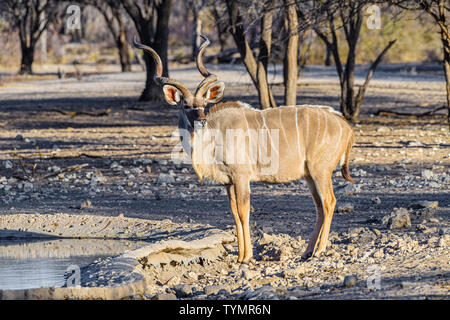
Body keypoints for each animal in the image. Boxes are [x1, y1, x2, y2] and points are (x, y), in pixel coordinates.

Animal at [134, 36, 356, 264]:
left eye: (204, 104)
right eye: (186, 105)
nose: (201, 121)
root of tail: (346, 125)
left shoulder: (241, 177)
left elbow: (243, 211)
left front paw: (247, 256)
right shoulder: (229, 183)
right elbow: (234, 213)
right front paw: (240, 255)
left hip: (320, 171)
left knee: (329, 202)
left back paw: (319, 251)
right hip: (310, 176)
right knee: (320, 207)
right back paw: (307, 251)